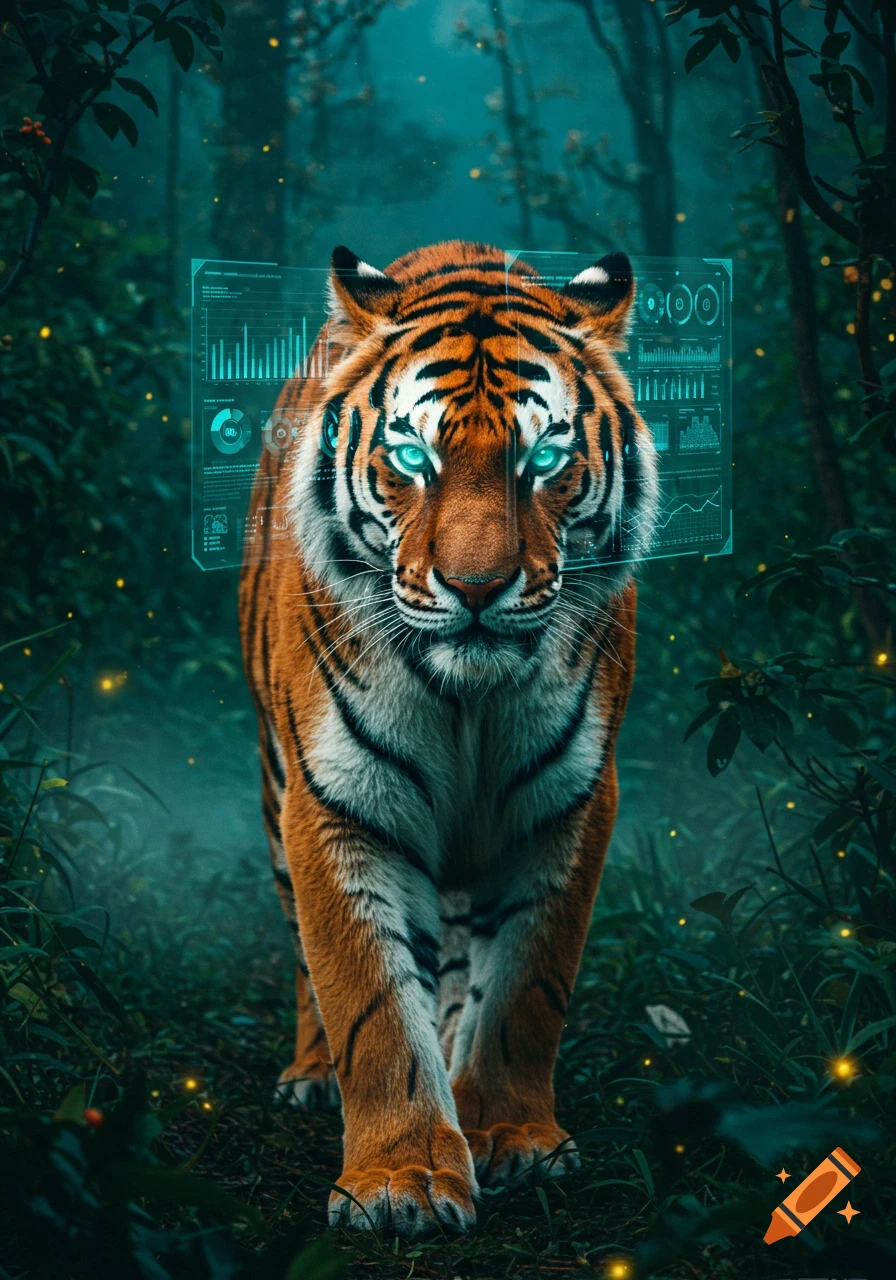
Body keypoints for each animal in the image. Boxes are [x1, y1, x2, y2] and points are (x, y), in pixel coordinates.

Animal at [239, 240, 658, 1237]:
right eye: (411, 456)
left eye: (543, 457)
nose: (475, 588)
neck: (470, 696)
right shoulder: (337, 802)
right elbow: (369, 999)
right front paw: (401, 1182)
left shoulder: (567, 804)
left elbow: (524, 987)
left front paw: (510, 1136)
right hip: (276, 791)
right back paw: (311, 1076)